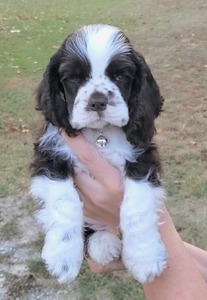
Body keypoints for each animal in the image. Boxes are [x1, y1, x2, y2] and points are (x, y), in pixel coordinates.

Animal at [30, 24, 167, 284]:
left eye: (121, 76)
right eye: (72, 78)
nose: (97, 102)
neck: (100, 134)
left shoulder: (142, 157)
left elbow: (137, 206)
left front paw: (145, 257)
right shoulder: (50, 157)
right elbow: (65, 202)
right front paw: (62, 257)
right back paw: (102, 243)